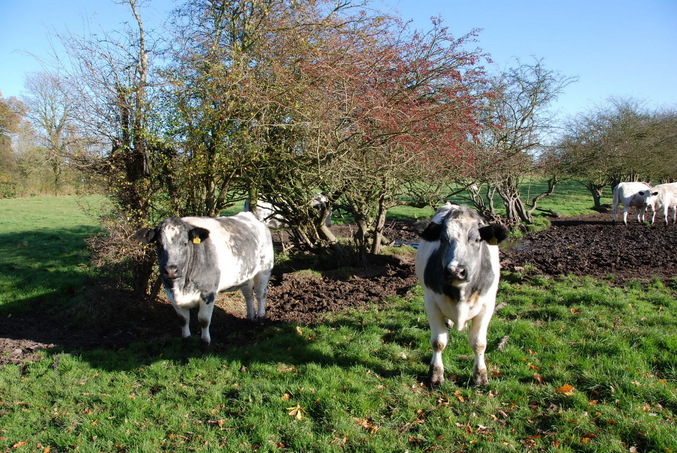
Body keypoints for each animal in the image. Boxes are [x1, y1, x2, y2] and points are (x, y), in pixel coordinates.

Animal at [136, 212, 274, 346]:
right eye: (159, 244)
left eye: (185, 243)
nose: (171, 270)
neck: (182, 286)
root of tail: (250, 216)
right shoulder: (170, 293)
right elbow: (183, 319)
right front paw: (186, 339)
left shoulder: (208, 292)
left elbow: (203, 320)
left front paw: (205, 342)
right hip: (245, 274)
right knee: (248, 294)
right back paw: (250, 317)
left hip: (264, 269)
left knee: (260, 294)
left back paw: (260, 317)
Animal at [412, 204, 508, 384]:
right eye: (442, 239)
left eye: (477, 239)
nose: (455, 271)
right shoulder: (431, 302)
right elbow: (438, 342)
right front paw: (435, 374)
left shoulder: (487, 305)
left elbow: (479, 343)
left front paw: (480, 376)